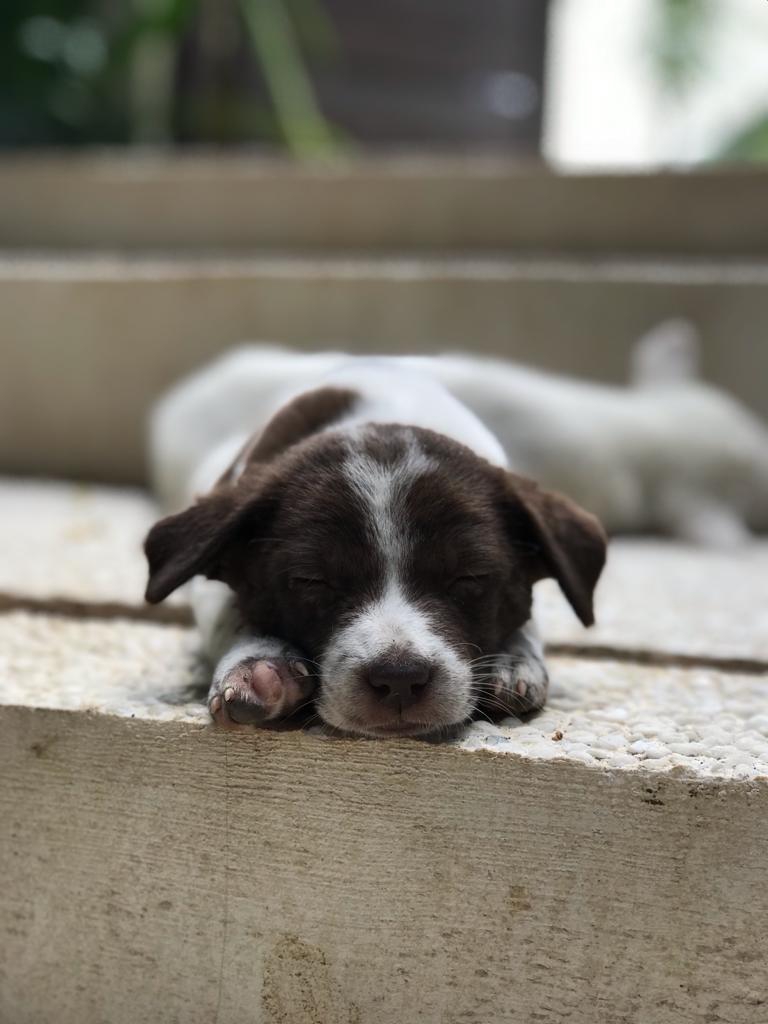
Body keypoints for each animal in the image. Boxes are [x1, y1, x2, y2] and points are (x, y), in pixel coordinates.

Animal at [147, 356, 610, 733]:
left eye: (470, 577)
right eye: (312, 582)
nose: (399, 679)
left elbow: (527, 621)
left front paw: (513, 660)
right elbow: (231, 615)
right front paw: (260, 664)